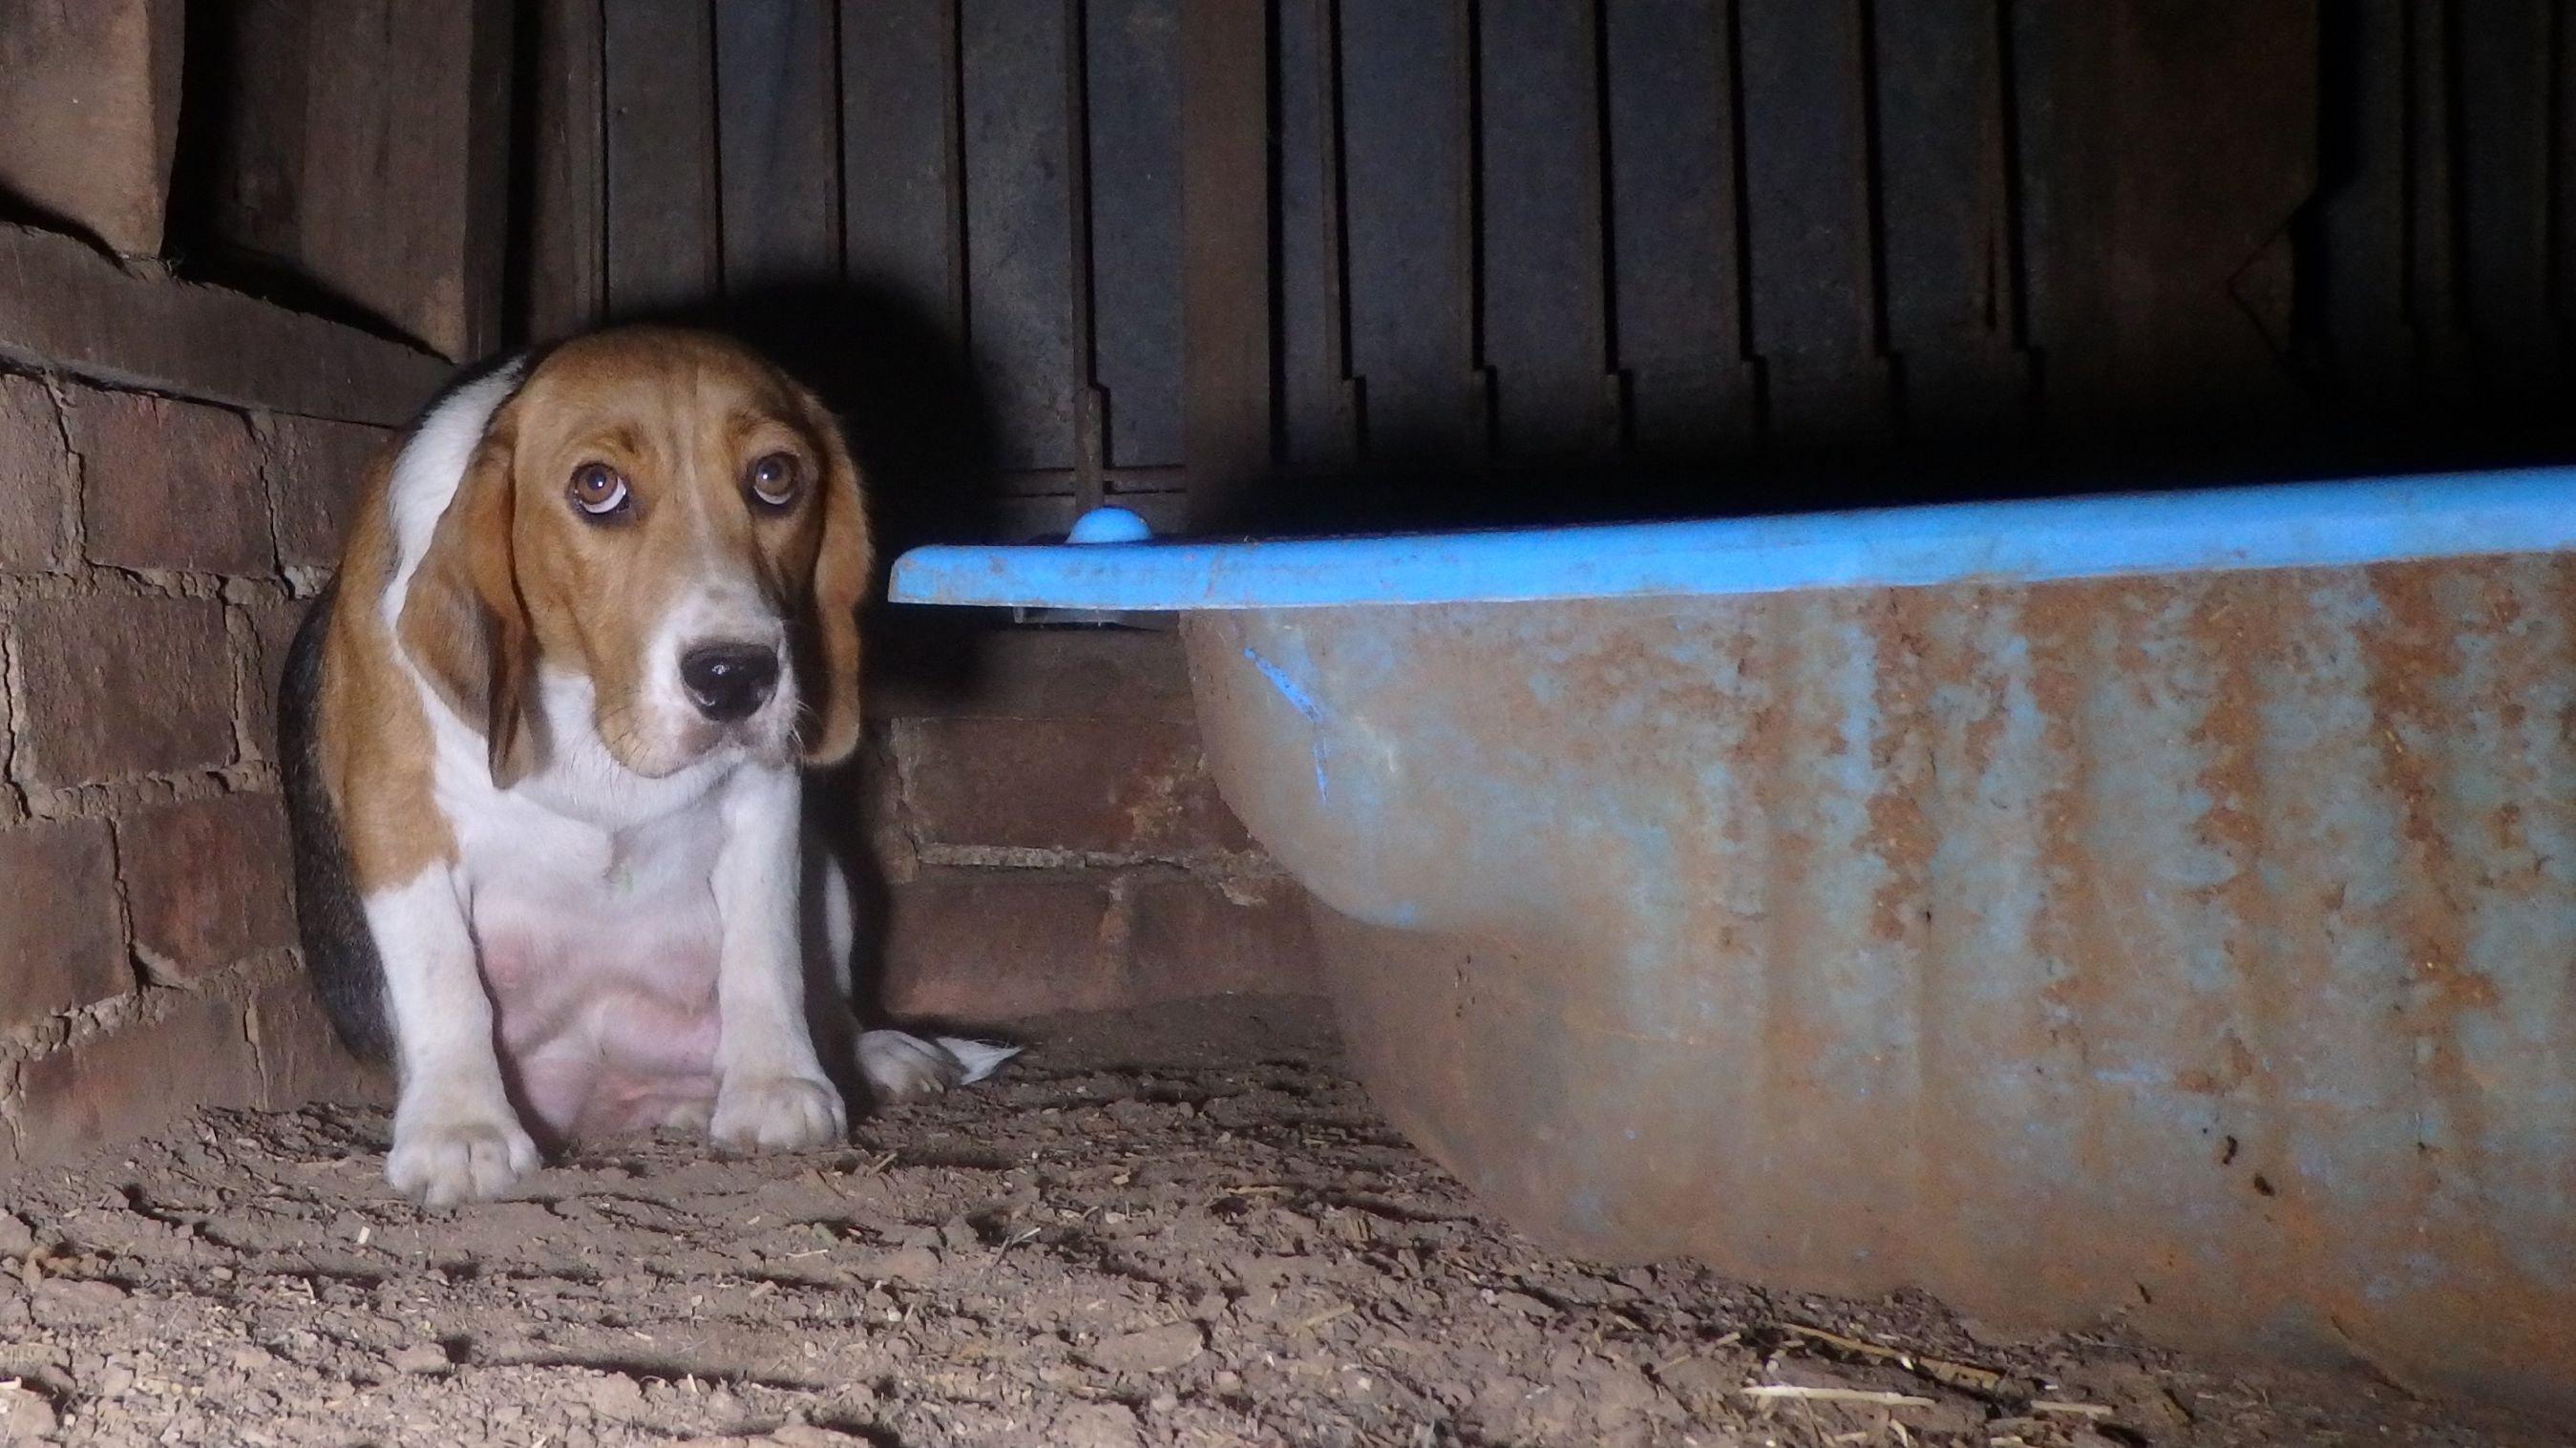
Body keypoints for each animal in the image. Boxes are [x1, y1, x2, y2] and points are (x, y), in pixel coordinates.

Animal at [282, 321, 1004, 1200]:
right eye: (597, 485)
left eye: (775, 476)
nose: (736, 678)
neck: (596, 721)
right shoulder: (397, 811)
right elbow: (442, 976)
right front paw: (462, 1128)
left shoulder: (766, 800)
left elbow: (765, 952)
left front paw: (775, 1087)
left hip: (828, 872)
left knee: (826, 998)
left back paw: (875, 1057)